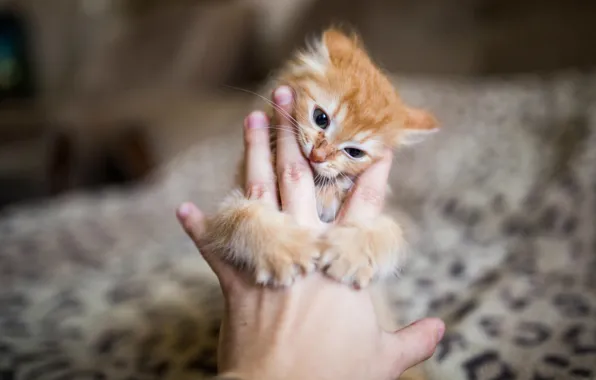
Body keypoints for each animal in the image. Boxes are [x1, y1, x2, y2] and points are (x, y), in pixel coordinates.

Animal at [201, 27, 438, 288]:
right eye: (320, 118)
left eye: (354, 152)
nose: (318, 155)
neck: (318, 186)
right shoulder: (227, 208)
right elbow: (243, 216)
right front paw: (283, 248)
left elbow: (392, 231)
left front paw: (351, 252)